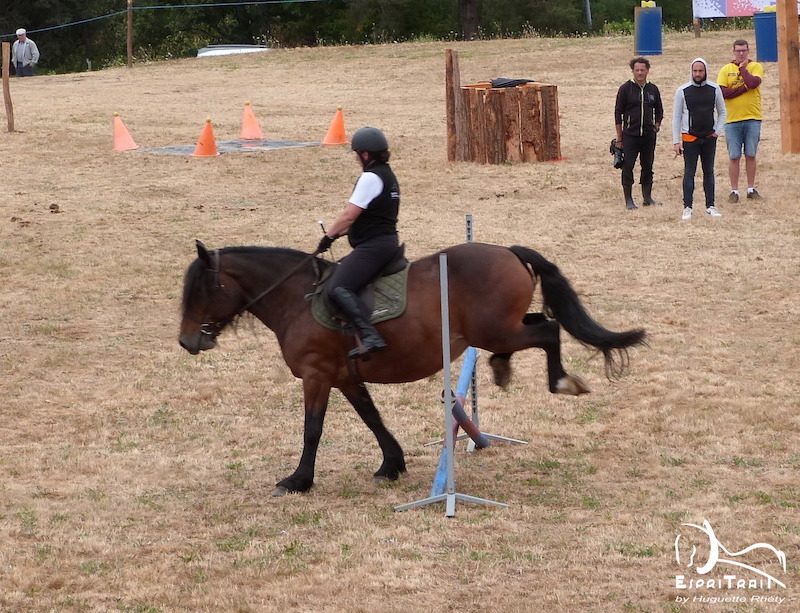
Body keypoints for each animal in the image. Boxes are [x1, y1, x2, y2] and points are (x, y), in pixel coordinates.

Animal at [179, 241, 645, 497]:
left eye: (201, 289)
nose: (187, 342)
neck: (297, 297)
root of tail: (507, 252)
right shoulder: (345, 377)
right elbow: (372, 418)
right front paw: (392, 465)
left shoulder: (317, 375)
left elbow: (313, 429)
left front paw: (298, 481)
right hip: (500, 330)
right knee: (536, 326)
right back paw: (501, 368)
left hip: (497, 330)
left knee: (548, 329)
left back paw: (561, 380)